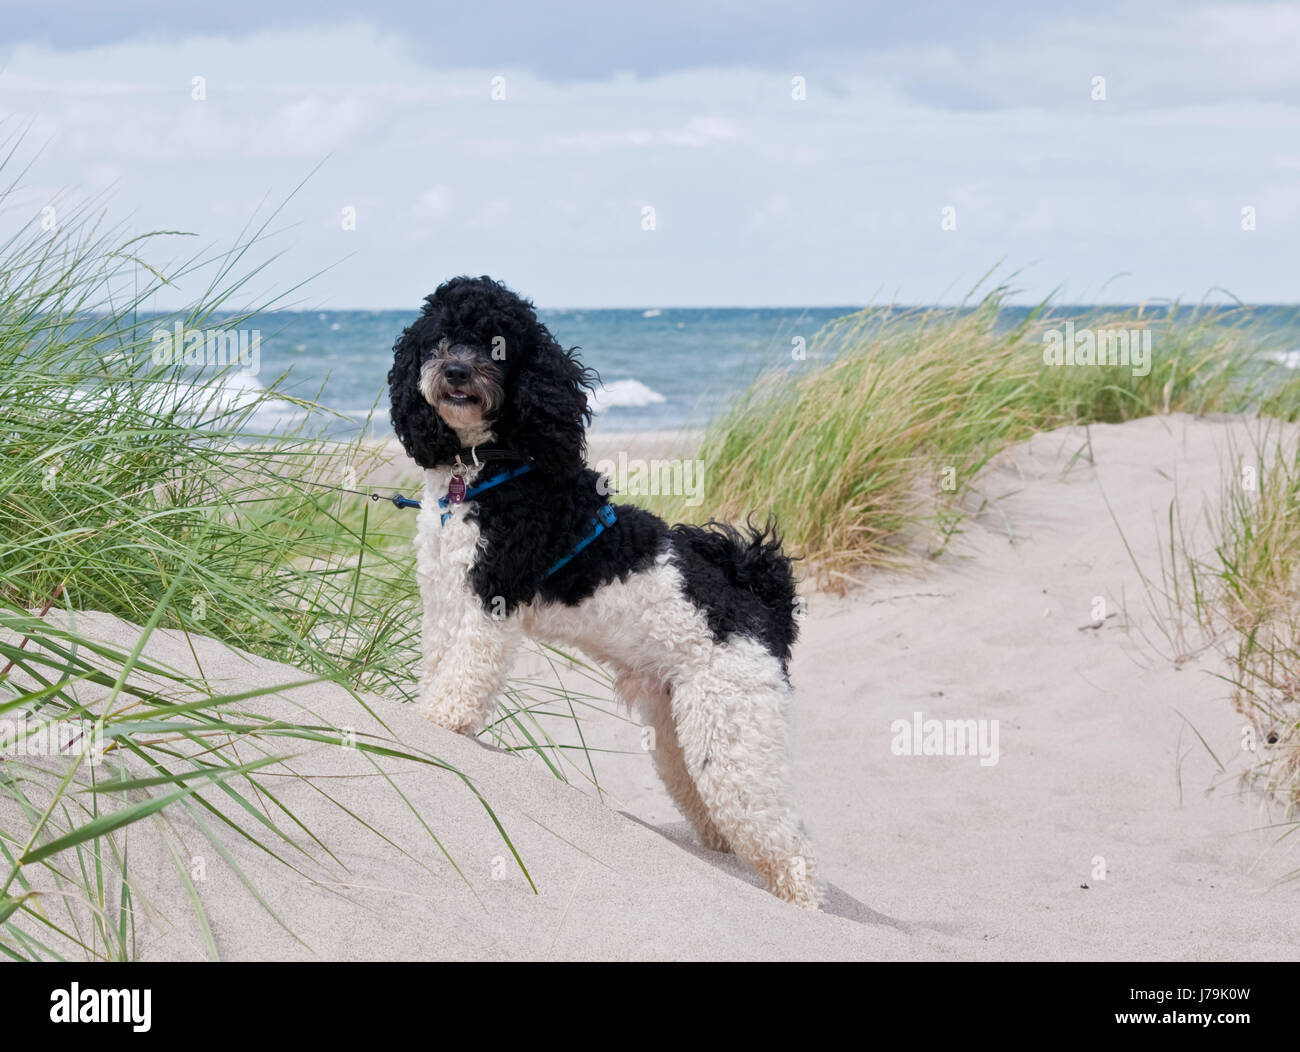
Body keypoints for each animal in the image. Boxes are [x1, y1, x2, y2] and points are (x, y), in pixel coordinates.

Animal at [384, 274, 821, 905]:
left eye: (498, 345)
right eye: (439, 337)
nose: (456, 372)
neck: (485, 468)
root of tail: (763, 607)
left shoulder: (489, 603)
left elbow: (460, 683)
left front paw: (436, 727)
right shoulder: (445, 598)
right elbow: (439, 667)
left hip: (736, 738)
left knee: (790, 847)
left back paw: (802, 908)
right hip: (681, 733)